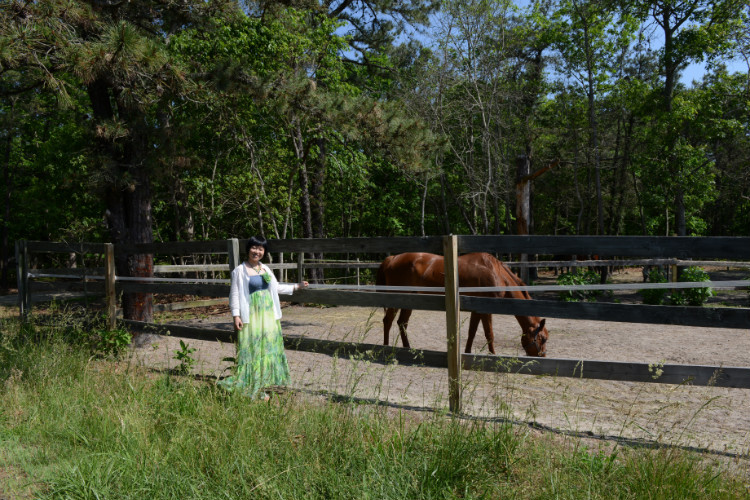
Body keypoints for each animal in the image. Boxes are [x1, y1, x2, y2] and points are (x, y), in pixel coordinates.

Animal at [378, 254, 548, 356]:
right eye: (544, 339)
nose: (543, 356)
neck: (496, 273)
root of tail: (391, 259)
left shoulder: (477, 310)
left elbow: (472, 332)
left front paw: (467, 352)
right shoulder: (486, 310)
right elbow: (489, 334)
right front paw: (493, 355)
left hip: (408, 300)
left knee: (402, 323)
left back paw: (408, 348)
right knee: (388, 321)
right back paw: (385, 347)